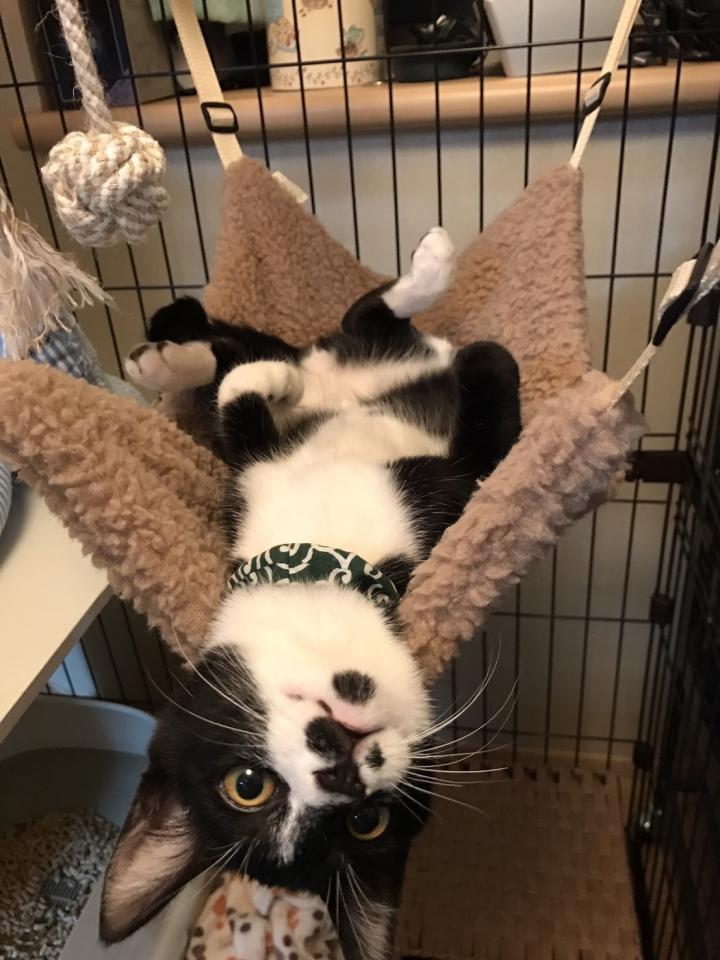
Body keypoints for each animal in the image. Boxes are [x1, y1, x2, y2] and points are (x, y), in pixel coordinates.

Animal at [102, 228, 521, 960]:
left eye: (246, 785)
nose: (342, 769)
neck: (323, 563)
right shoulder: (456, 483)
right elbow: (487, 426)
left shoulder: (254, 472)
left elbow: (241, 397)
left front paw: (270, 382)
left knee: (339, 324)